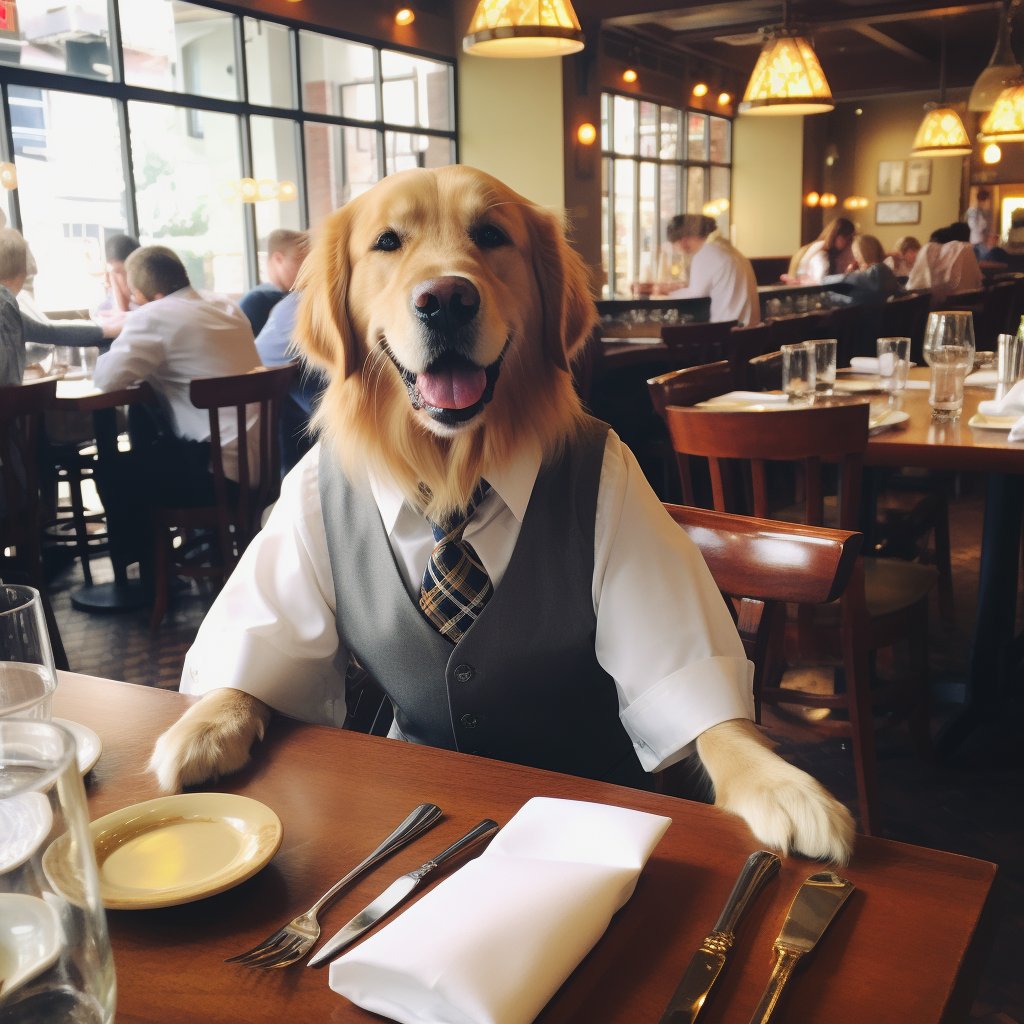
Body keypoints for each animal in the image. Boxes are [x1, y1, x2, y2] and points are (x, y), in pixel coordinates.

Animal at [149, 165, 856, 864]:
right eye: (387, 242)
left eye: (491, 235)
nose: (445, 299)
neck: (452, 476)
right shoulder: (297, 501)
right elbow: (248, 668)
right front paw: (200, 727)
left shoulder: (622, 489)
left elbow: (710, 714)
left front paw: (779, 784)